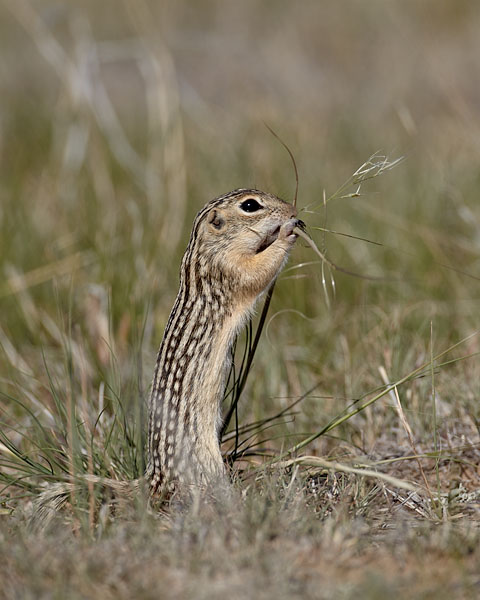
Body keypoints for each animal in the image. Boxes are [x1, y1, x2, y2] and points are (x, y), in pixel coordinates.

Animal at [146, 190, 300, 494]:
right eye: (250, 205)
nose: (292, 210)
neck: (203, 250)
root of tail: (156, 476)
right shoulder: (231, 268)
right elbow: (258, 271)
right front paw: (286, 233)